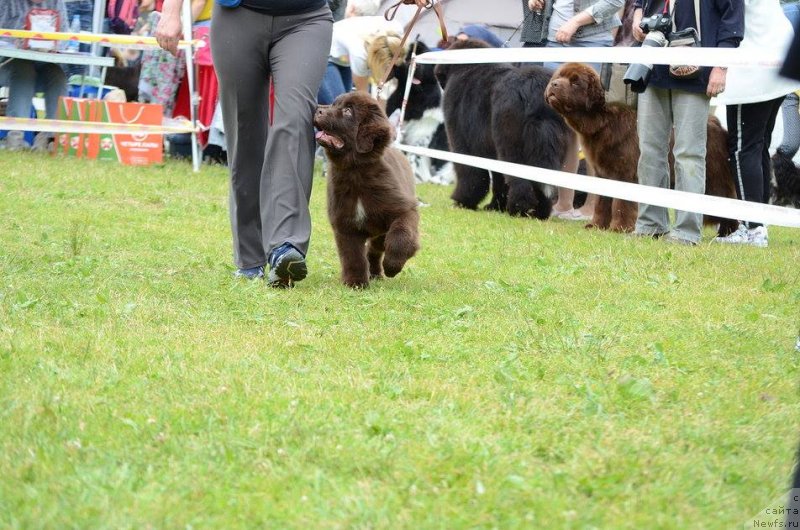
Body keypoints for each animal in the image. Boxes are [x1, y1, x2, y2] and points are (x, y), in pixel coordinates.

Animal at [312, 92, 418, 288]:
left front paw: (392, 266)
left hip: (381, 231)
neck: (355, 174)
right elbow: (353, 256)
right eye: (334, 104)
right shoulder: (345, 224)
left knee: (377, 248)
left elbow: (401, 237)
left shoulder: (404, 210)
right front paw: (356, 283)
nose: (317, 109)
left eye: (348, 111)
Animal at [548, 62, 740, 235]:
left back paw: (727, 232)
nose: (554, 84)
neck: (603, 120)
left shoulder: (625, 173)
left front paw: (619, 228)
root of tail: (717, 123)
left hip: (713, 174)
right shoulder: (603, 172)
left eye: (575, 82)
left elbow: (622, 204)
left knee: (726, 198)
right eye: (559, 76)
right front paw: (597, 226)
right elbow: (602, 202)